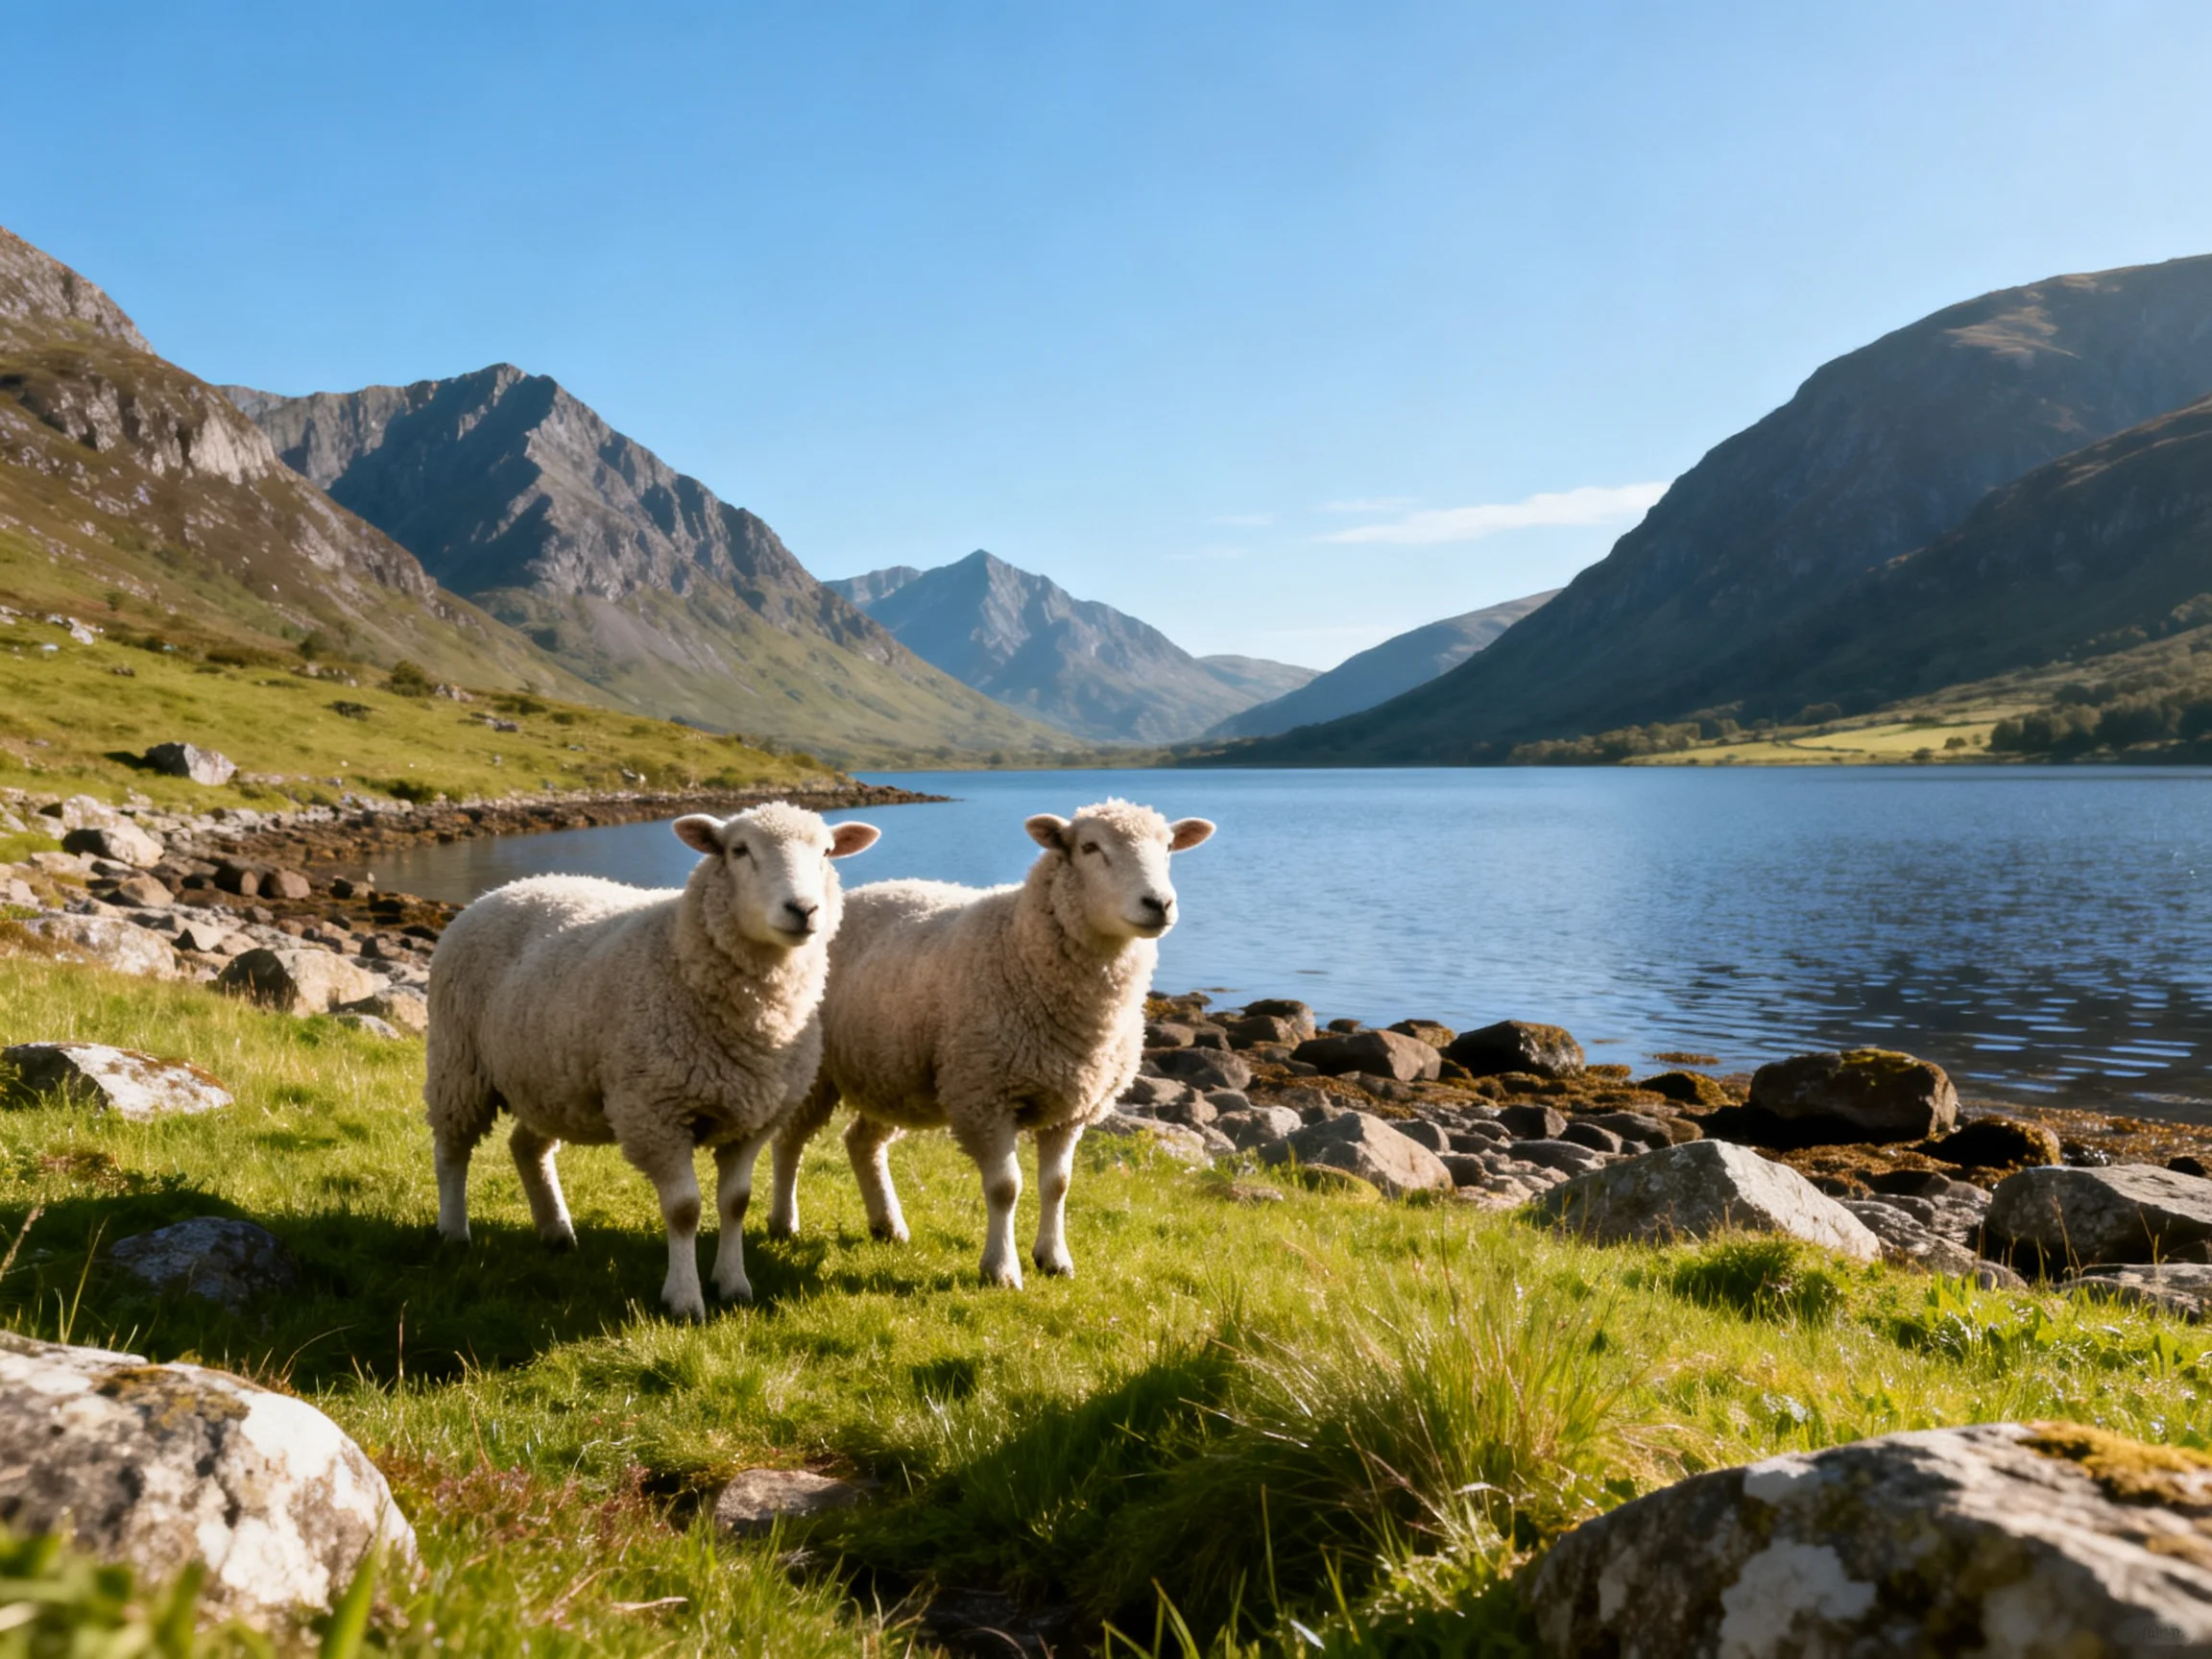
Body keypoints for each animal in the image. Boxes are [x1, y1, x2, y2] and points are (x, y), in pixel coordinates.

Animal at [423, 802, 881, 1319]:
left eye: (826, 852)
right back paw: (454, 1231)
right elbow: (684, 1210)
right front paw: (684, 1299)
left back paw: (556, 1231)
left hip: (546, 1078)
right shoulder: (656, 1113)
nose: (803, 910)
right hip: (458, 1061)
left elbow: (736, 1203)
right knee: (451, 1150)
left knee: (527, 1148)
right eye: (739, 851)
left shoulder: (752, 1119)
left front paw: (733, 1284)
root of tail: (502, 890)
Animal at [767, 798, 1215, 1288]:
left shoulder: (1071, 1106)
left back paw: (888, 1225)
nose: (1159, 903)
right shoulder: (985, 1094)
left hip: (894, 1074)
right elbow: (1005, 1188)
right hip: (820, 1071)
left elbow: (1058, 1186)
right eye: (1090, 847)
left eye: (1169, 846)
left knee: (861, 1141)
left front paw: (1054, 1258)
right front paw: (1000, 1269)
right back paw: (783, 1222)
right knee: (789, 1141)